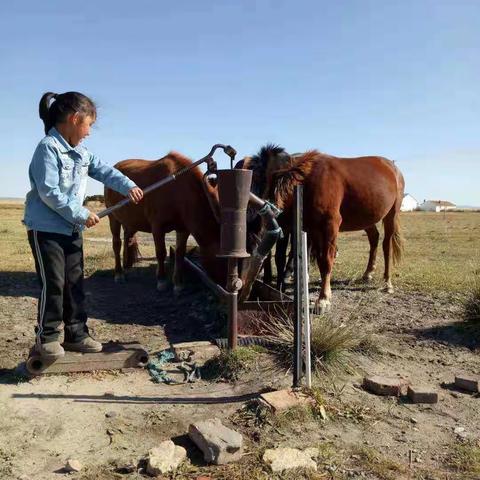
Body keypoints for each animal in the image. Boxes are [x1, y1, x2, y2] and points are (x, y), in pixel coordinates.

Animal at [104, 152, 222, 292]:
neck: (177, 190)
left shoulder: (183, 229)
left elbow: (180, 254)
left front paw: (178, 283)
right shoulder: (157, 227)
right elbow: (161, 252)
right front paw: (161, 280)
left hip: (131, 220)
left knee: (129, 238)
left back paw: (127, 266)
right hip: (113, 217)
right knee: (117, 244)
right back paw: (119, 273)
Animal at [244, 144, 404, 314]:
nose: (246, 290)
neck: (307, 179)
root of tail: (392, 167)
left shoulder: (330, 225)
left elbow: (326, 260)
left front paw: (323, 300)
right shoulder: (312, 229)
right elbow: (314, 258)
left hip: (392, 214)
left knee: (386, 245)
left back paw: (387, 283)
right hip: (367, 219)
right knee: (374, 238)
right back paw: (367, 273)